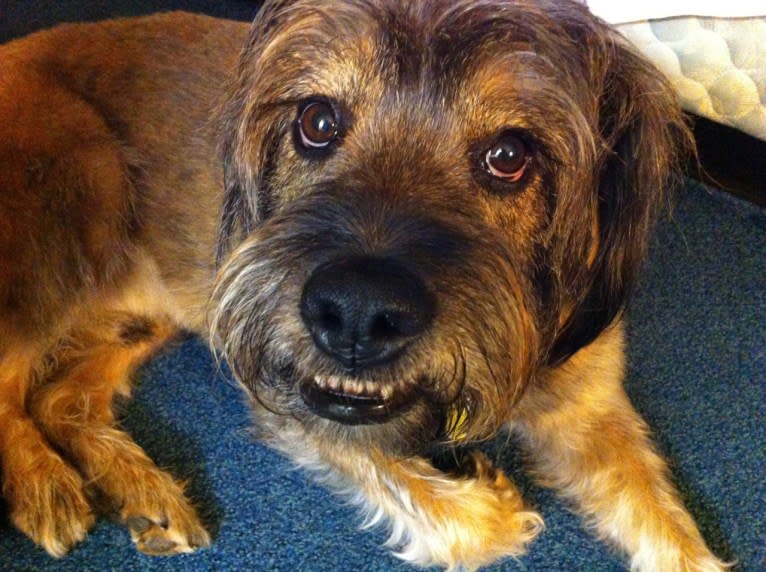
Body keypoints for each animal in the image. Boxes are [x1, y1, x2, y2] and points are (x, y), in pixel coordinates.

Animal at [0, 0, 728, 568]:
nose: (354, 317)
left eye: (510, 156)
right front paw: (492, 498)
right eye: (317, 122)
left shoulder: (589, 406)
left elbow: (666, 523)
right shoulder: (295, 398)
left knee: (60, 398)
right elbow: (478, 525)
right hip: (84, 191)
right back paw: (43, 485)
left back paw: (141, 492)